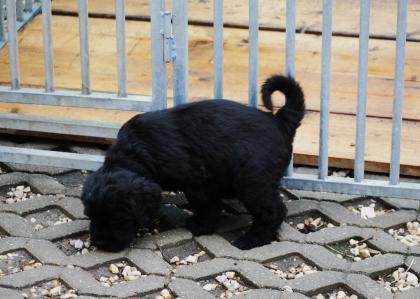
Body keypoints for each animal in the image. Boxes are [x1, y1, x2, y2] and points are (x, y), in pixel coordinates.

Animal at [81, 74, 306, 251]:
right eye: (91, 215)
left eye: (117, 216)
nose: (100, 243)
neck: (136, 151)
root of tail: (279, 121)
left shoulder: (196, 180)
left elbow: (206, 204)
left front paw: (202, 225)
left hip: (252, 180)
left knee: (273, 211)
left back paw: (251, 239)